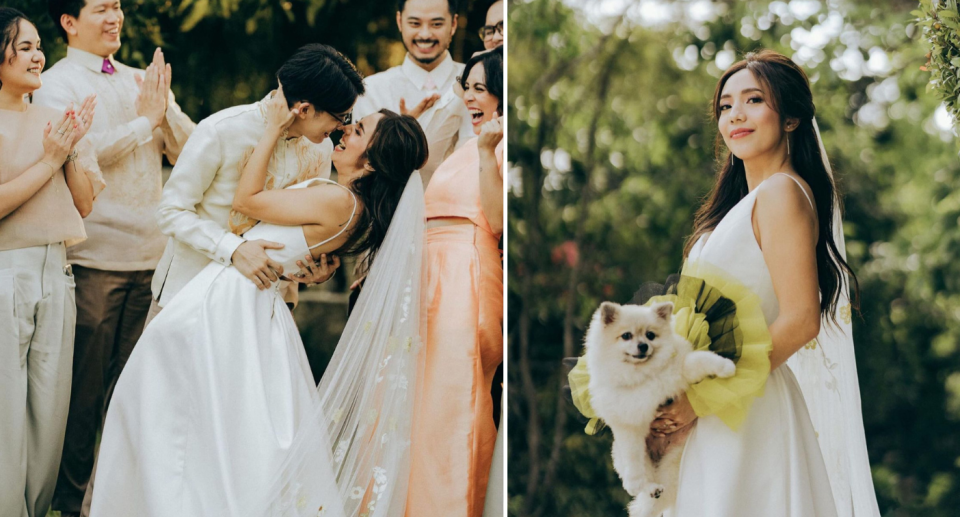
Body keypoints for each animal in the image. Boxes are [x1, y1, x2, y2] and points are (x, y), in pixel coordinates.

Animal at [584, 300, 736, 512]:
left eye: (650, 335)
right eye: (626, 336)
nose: (643, 345)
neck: (644, 374)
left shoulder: (682, 370)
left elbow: (702, 359)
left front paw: (726, 367)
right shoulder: (629, 422)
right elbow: (632, 457)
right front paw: (636, 482)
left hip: (674, 463)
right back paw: (650, 487)